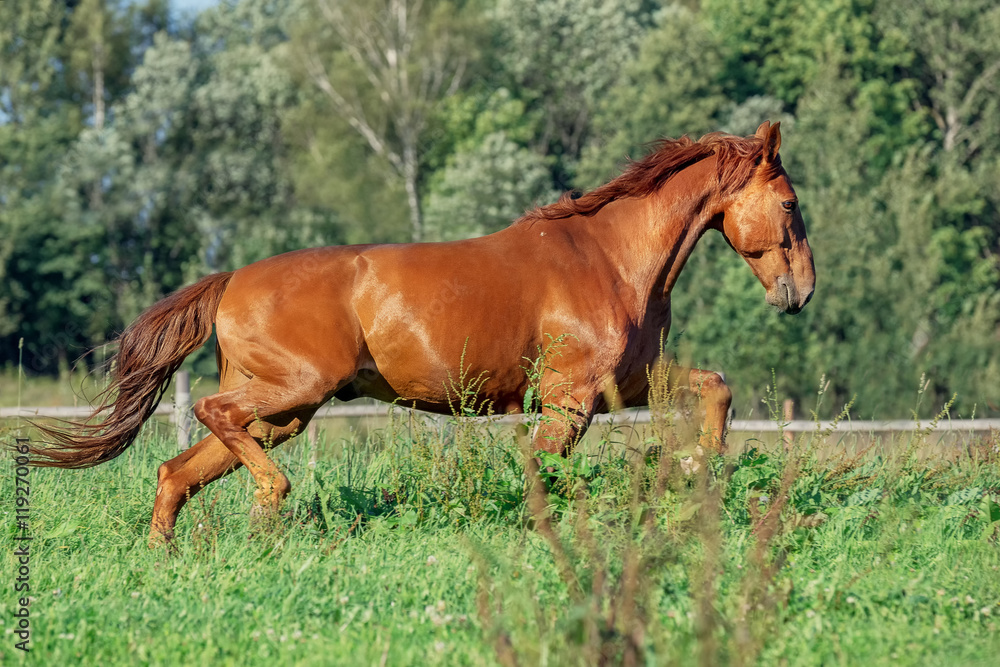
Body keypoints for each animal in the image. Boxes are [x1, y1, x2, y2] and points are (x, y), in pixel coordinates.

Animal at [28, 121, 815, 546]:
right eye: (789, 203)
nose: (800, 292)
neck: (609, 257)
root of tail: (230, 280)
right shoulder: (571, 397)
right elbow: (543, 472)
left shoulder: (629, 383)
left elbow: (716, 389)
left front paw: (697, 467)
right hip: (293, 390)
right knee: (211, 418)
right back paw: (271, 499)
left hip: (285, 411)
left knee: (175, 471)